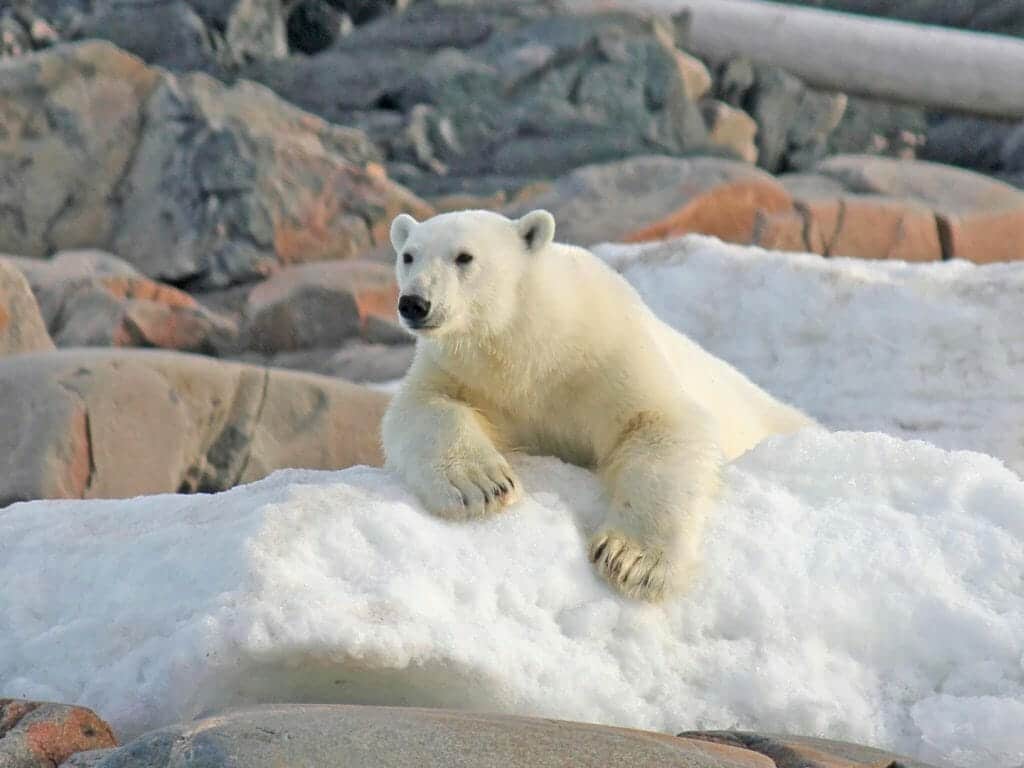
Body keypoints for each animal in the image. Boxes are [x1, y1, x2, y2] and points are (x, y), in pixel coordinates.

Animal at [381, 208, 817, 601]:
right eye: (409, 255)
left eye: (464, 257)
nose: (414, 303)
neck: (532, 346)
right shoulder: (464, 373)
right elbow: (420, 408)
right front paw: (482, 486)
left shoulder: (611, 354)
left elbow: (659, 425)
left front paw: (633, 562)